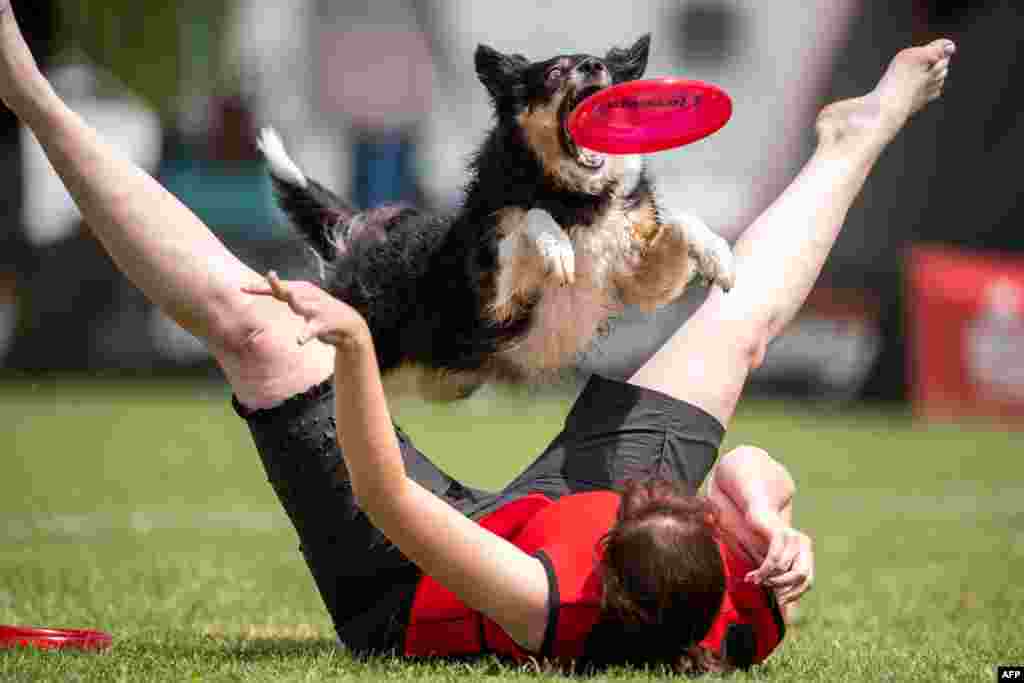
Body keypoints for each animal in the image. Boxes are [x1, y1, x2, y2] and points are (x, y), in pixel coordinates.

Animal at [258, 34, 737, 401]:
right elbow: (530, 219)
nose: (593, 66)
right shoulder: (499, 300)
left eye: (605, 71)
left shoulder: (638, 282)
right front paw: (556, 248)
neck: (572, 197)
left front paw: (718, 255)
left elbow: (683, 222)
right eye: (555, 72)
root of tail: (361, 236)